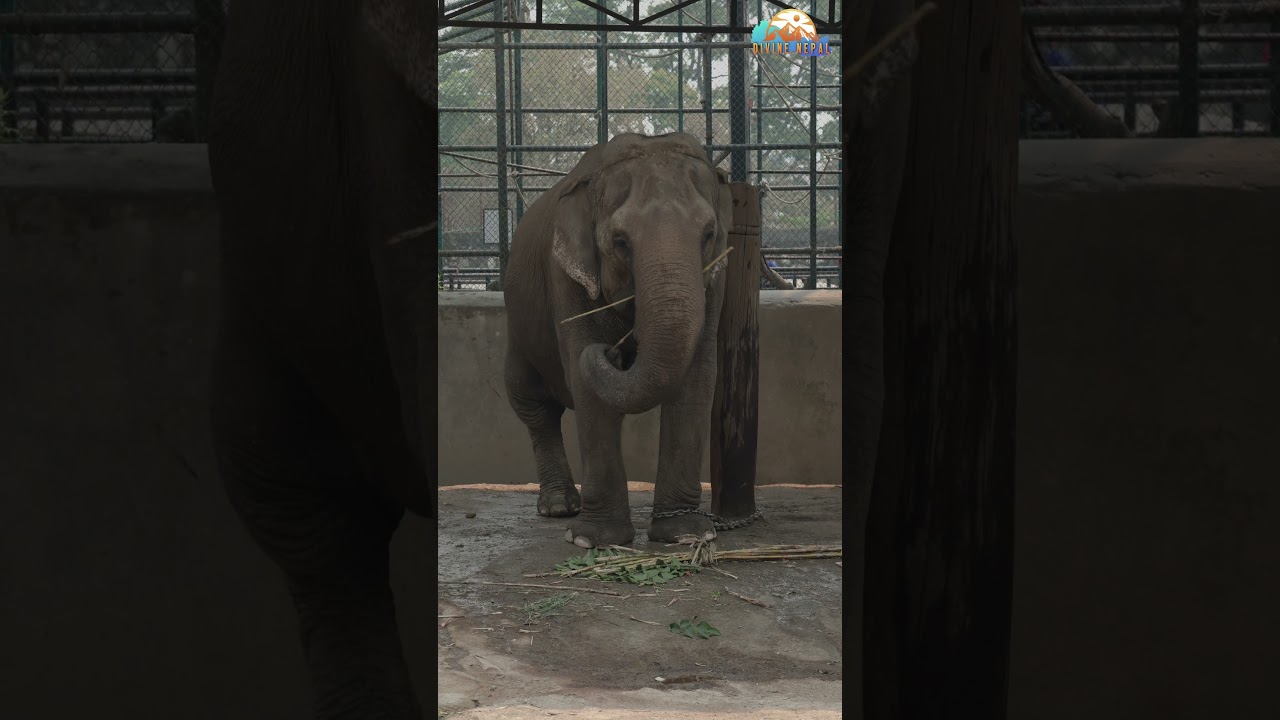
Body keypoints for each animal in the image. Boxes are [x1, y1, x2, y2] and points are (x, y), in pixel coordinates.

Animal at [503, 132, 733, 549]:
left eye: (709, 234)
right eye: (621, 241)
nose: (614, 353)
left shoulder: (714, 278)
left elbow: (697, 377)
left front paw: (687, 534)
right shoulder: (565, 276)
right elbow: (583, 374)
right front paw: (592, 541)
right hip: (519, 328)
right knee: (534, 405)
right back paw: (559, 507)